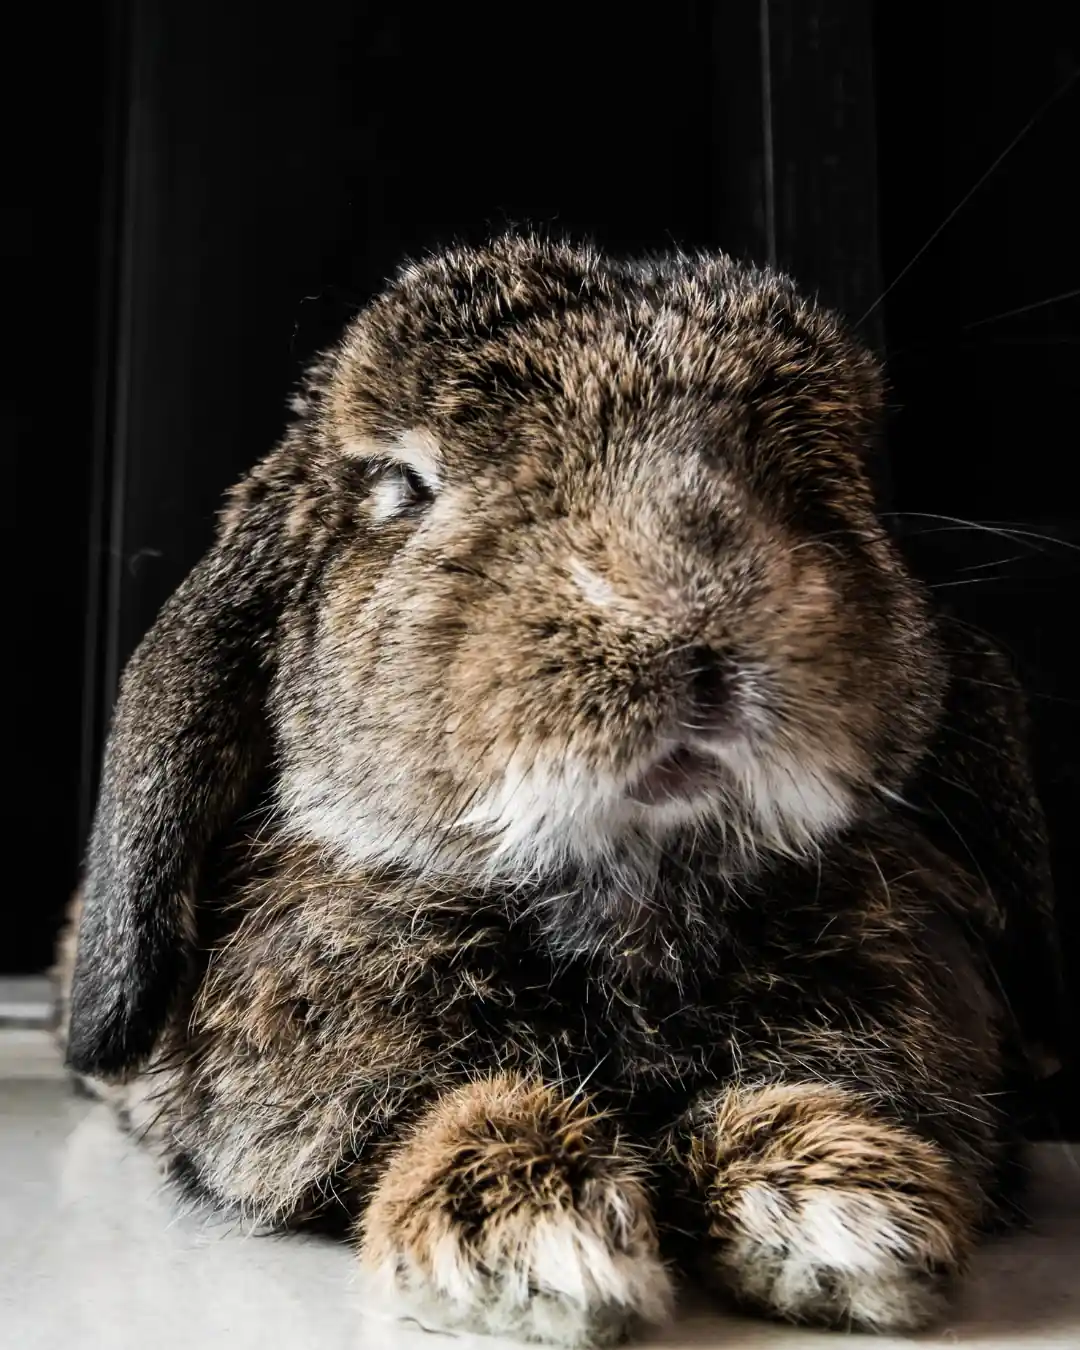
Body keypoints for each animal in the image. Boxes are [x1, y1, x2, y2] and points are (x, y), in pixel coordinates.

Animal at [56, 233, 1065, 1347]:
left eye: (827, 478)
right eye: (406, 485)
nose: (691, 610)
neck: (633, 905)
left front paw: (849, 1208)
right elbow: (435, 1112)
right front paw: (534, 1238)